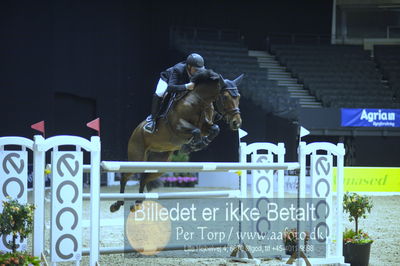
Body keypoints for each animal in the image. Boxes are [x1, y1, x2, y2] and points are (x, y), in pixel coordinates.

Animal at [109, 70, 244, 212]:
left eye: (238, 97)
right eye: (225, 97)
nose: (236, 123)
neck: (199, 101)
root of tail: (136, 130)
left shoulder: (206, 126)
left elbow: (215, 129)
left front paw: (200, 144)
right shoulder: (178, 127)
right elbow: (196, 131)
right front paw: (191, 146)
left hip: (160, 164)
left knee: (144, 179)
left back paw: (137, 203)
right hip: (137, 158)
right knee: (125, 176)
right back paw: (117, 204)